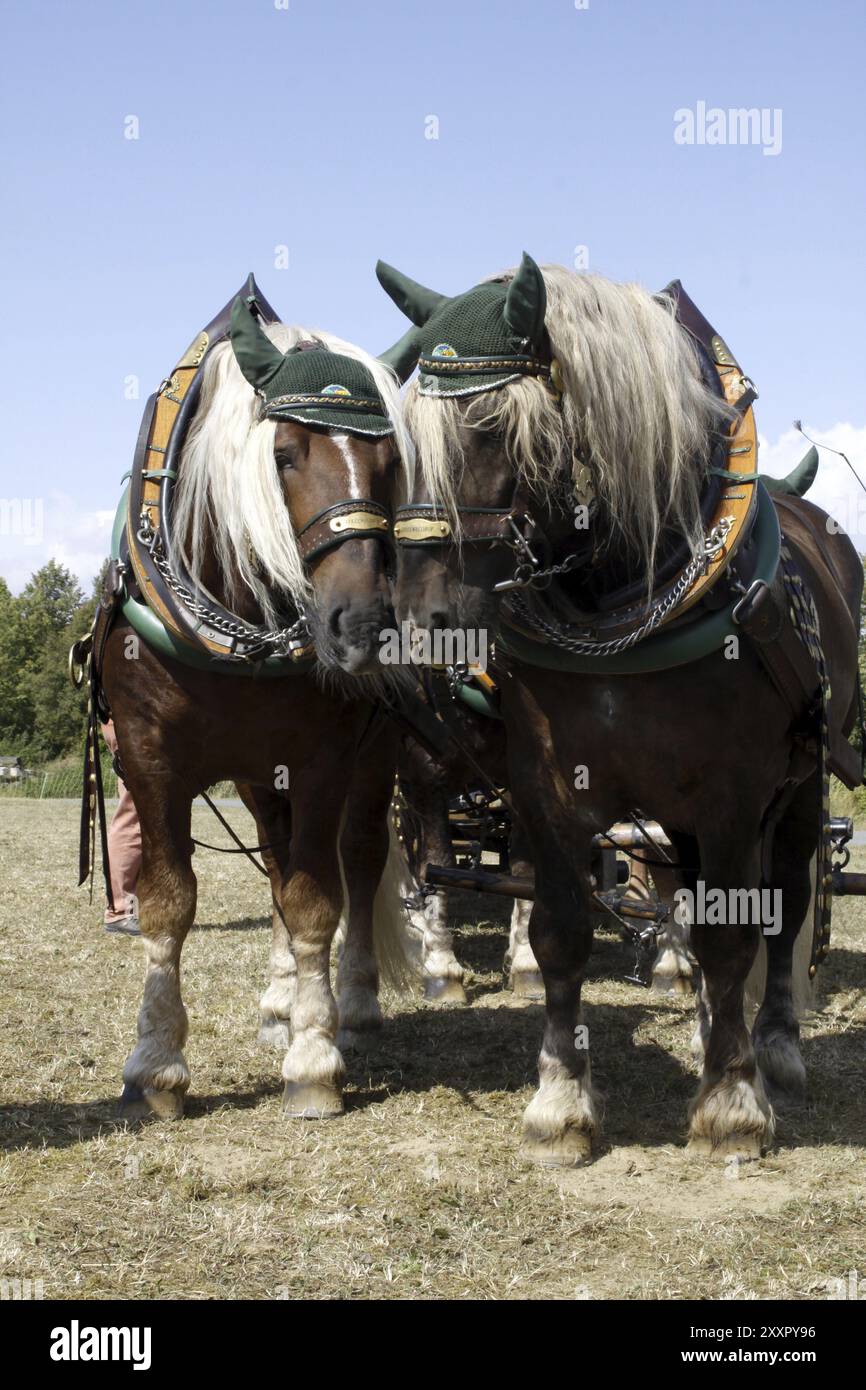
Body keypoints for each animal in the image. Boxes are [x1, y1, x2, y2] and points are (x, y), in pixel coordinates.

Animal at [96, 290, 419, 1117]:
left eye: (391, 463)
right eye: (284, 454)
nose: (362, 625)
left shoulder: (324, 759)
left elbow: (315, 900)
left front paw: (315, 1059)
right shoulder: (146, 757)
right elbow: (168, 902)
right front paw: (157, 1063)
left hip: (375, 757)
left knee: (357, 857)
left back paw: (352, 1001)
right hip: (253, 776)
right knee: (274, 860)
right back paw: (280, 1001)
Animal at [378, 252, 861, 1162]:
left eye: (491, 423)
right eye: (403, 442)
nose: (421, 622)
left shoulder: (733, 795)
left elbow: (736, 932)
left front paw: (732, 1103)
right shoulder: (545, 787)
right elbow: (561, 933)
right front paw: (562, 1100)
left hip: (803, 785)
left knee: (781, 907)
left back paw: (772, 1046)